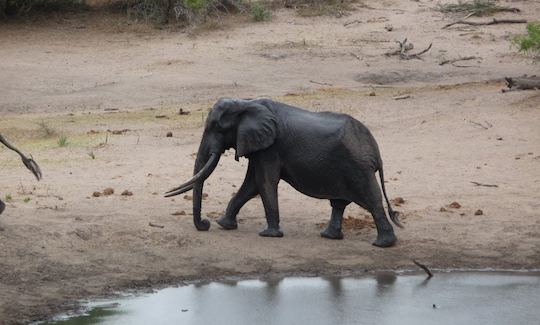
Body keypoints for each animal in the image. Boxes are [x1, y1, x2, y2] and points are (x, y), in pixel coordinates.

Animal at [167, 97, 402, 247]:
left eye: (219, 128)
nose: (205, 224)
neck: (246, 102)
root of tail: (375, 152)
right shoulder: (260, 146)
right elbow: (252, 184)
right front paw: (224, 225)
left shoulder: (271, 147)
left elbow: (263, 182)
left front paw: (268, 235)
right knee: (339, 203)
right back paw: (329, 236)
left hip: (357, 168)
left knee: (371, 201)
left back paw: (382, 245)